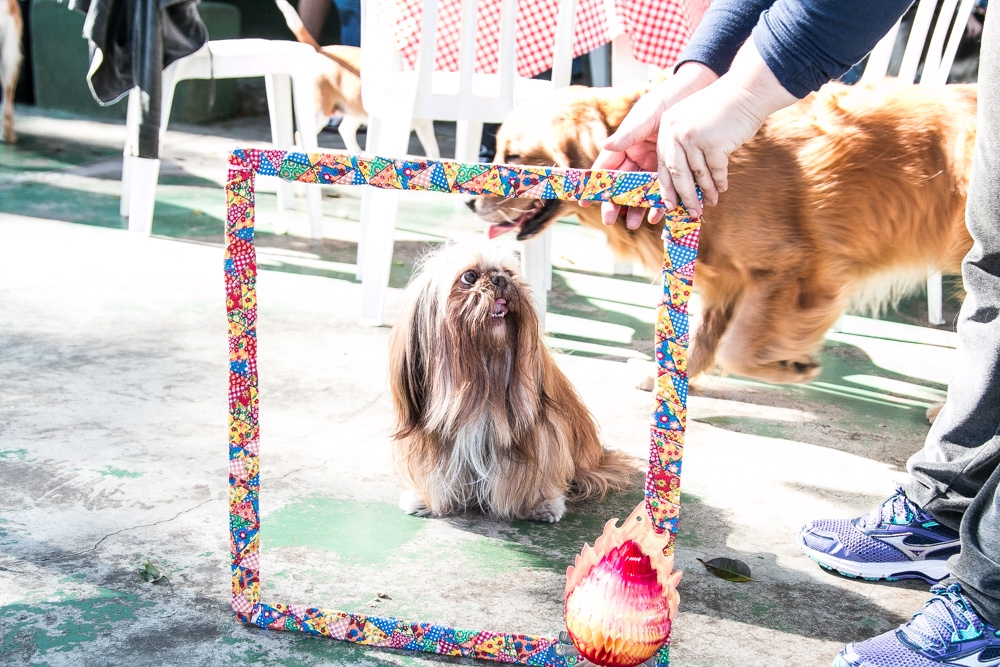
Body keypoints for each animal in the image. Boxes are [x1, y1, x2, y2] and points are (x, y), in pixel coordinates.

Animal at [274, 0, 438, 158]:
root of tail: (321, 50)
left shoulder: (424, 125)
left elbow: (433, 151)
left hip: (354, 109)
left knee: (345, 129)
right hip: (319, 112)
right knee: (301, 135)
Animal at [386, 244, 636, 520]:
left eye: (508, 272)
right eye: (469, 276)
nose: (500, 280)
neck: (483, 376)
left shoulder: (540, 433)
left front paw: (541, 503)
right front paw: (424, 499)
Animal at [472, 82, 972, 386]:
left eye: (514, 157)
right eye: (496, 150)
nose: (470, 202)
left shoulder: (792, 267)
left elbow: (737, 348)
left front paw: (790, 365)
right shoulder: (725, 276)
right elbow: (703, 337)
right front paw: (668, 376)